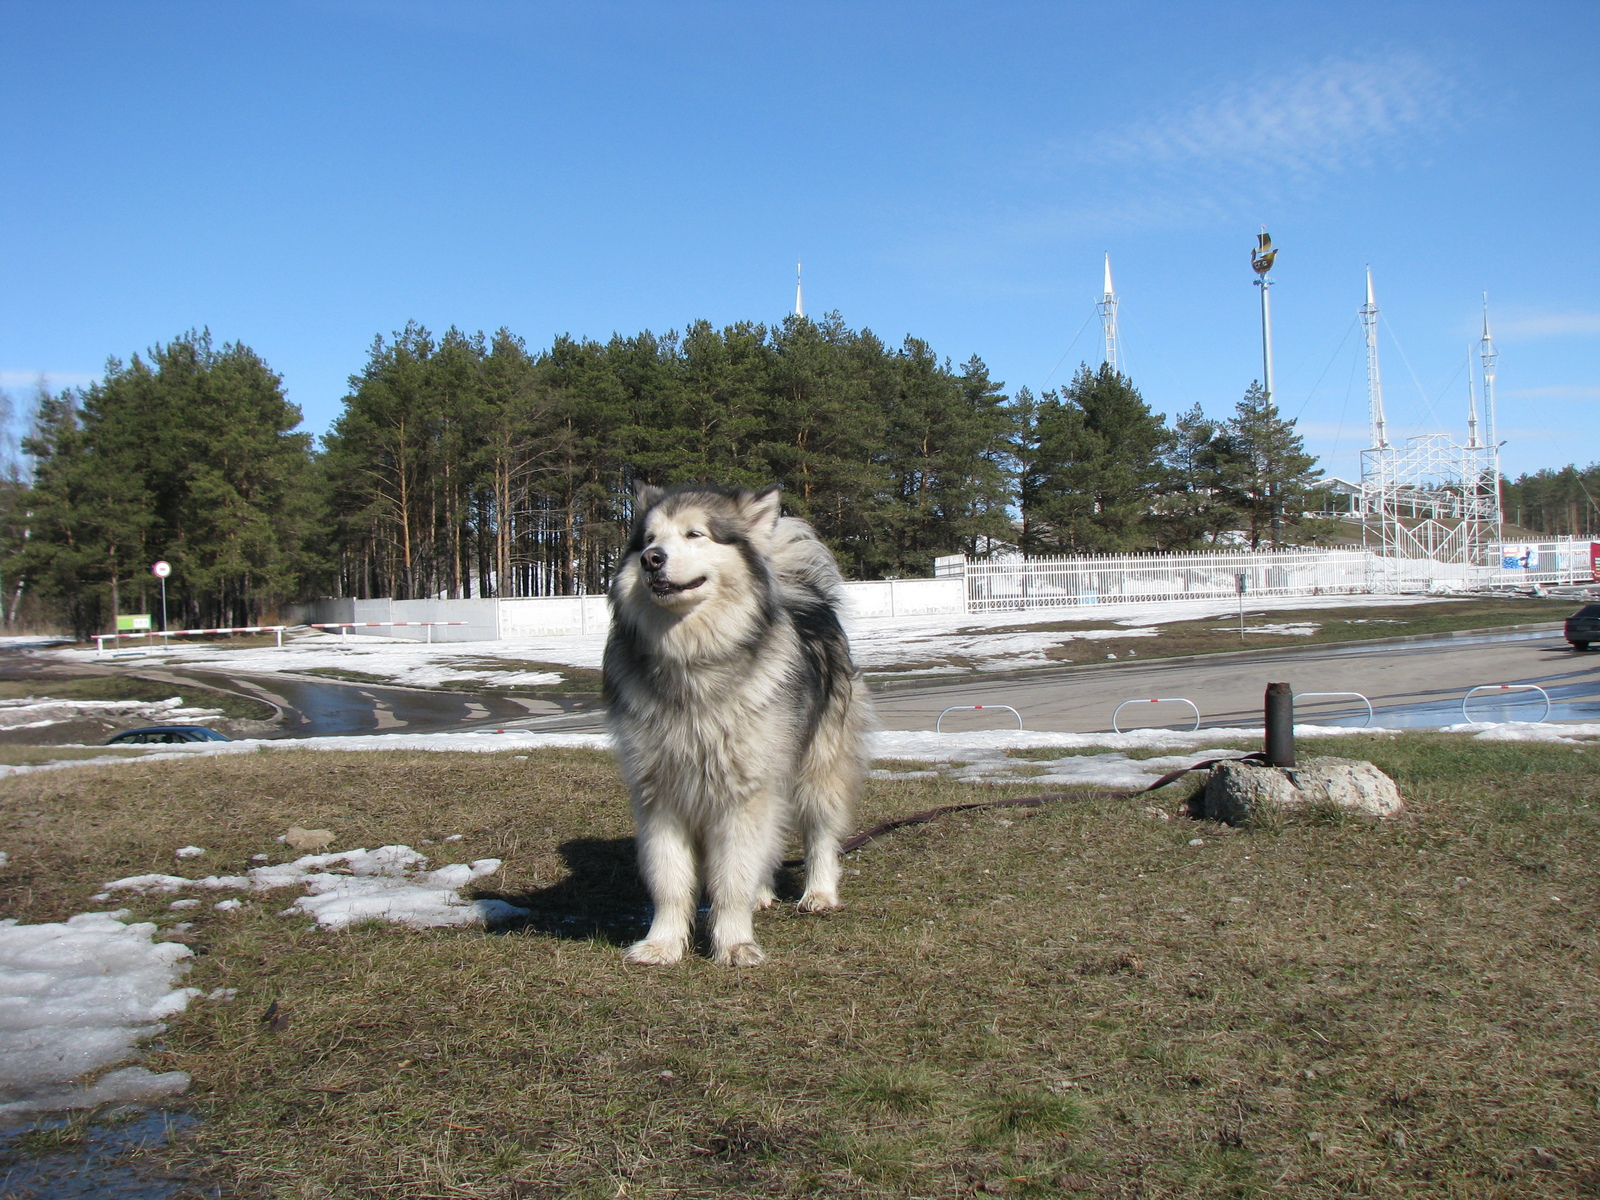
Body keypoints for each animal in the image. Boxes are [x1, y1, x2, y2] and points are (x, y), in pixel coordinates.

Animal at [601, 483, 876, 966]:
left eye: (694, 534)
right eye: (648, 538)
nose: (651, 559)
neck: (692, 659)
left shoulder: (743, 792)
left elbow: (732, 876)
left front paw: (733, 942)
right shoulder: (660, 794)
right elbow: (671, 880)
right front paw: (663, 943)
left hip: (819, 766)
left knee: (820, 833)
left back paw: (820, 892)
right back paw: (762, 893)